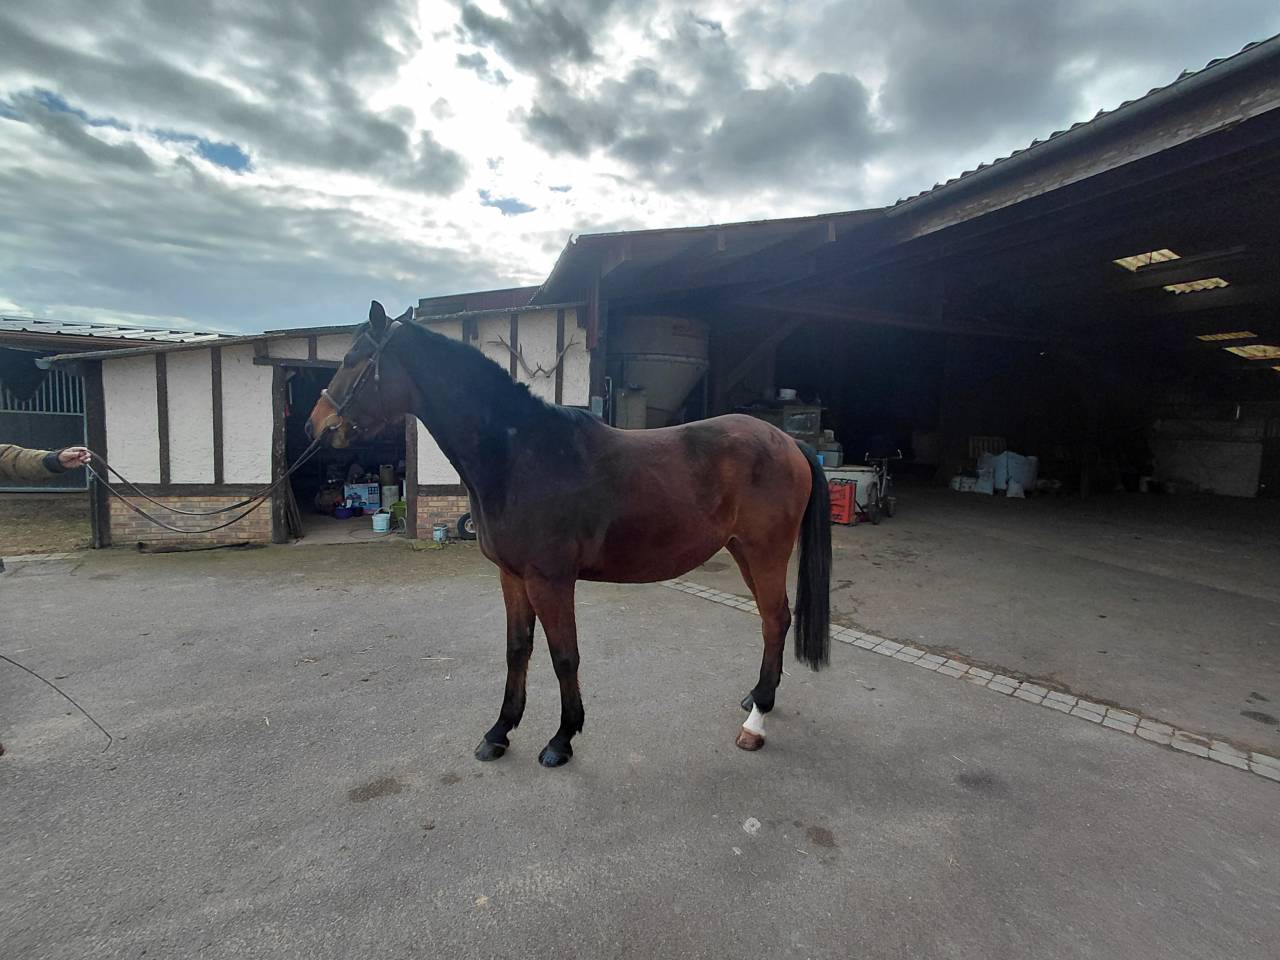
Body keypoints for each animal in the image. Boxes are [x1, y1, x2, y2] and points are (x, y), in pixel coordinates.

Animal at [306, 301, 831, 768]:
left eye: (353, 360)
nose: (318, 426)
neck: (520, 453)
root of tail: (790, 442)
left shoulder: (550, 580)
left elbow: (564, 656)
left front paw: (562, 739)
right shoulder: (513, 576)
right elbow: (518, 650)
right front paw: (499, 733)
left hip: (765, 552)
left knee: (775, 619)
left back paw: (756, 720)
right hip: (743, 551)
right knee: (771, 621)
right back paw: (757, 697)